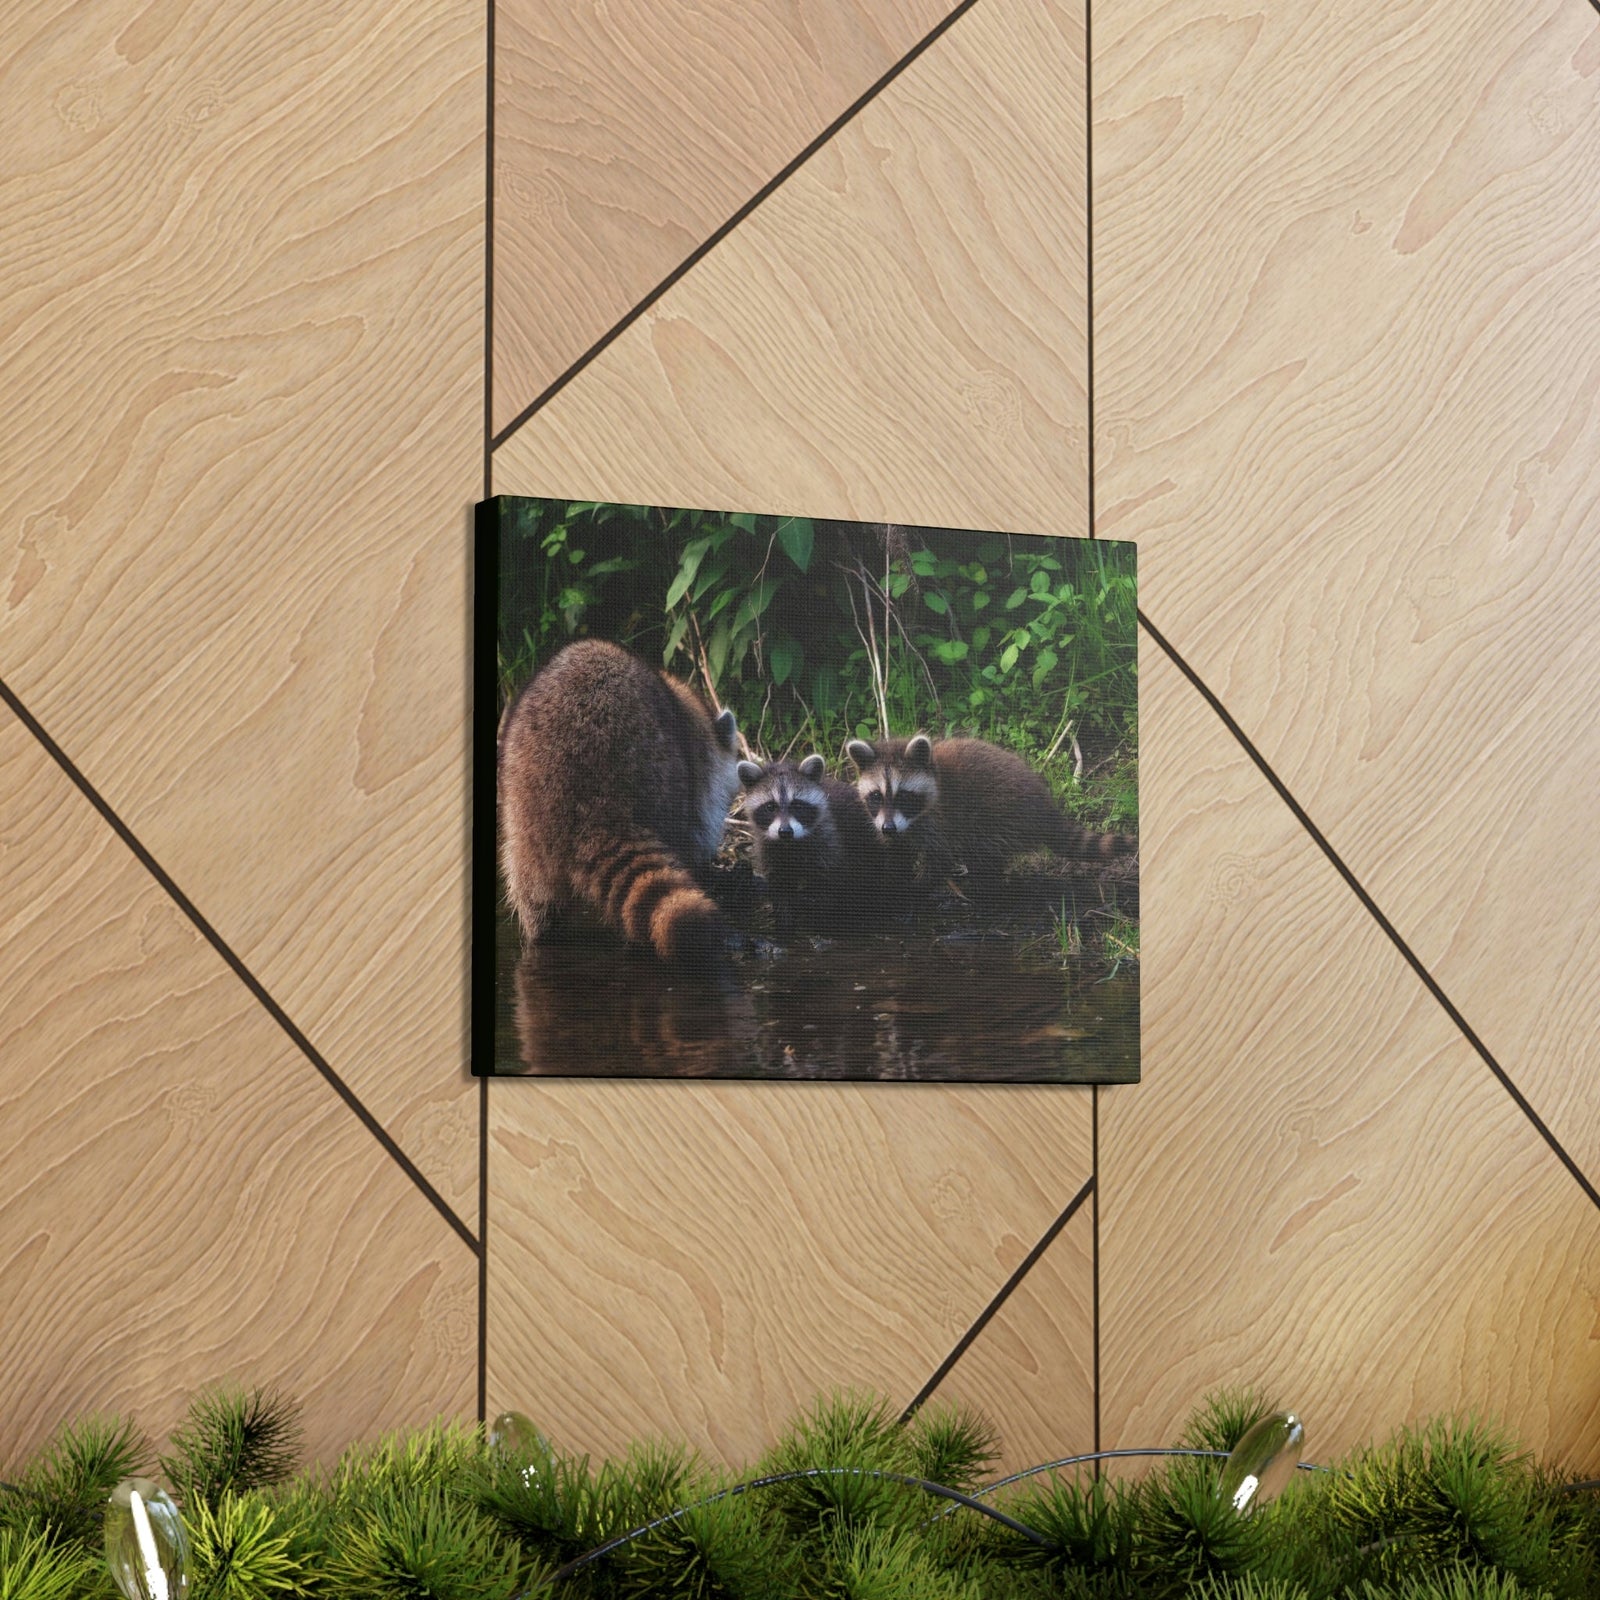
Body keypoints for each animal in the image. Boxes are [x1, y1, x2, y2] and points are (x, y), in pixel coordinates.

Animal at [737, 754, 885, 934]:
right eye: (770, 807)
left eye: (797, 805)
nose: (785, 831)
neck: (790, 844)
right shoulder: (769, 851)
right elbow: (780, 888)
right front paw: (784, 922)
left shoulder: (828, 844)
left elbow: (829, 888)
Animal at [844, 734, 1136, 891]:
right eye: (876, 796)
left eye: (904, 796)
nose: (888, 828)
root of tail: (1044, 805)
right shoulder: (893, 825)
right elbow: (896, 853)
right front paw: (893, 880)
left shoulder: (940, 822)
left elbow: (940, 859)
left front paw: (918, 887)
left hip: (999, 816)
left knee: (983, 851)